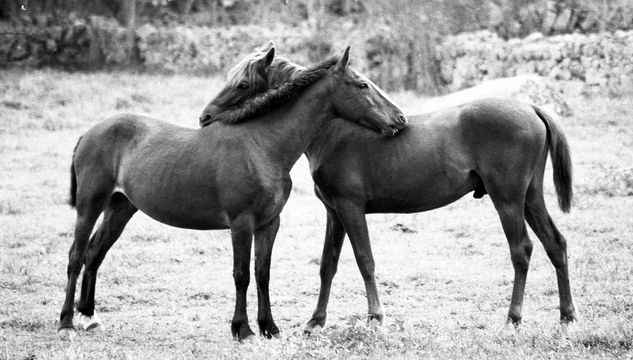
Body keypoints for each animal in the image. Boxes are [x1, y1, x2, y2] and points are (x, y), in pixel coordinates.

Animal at [58, 47, 404, 340]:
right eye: (362, 85)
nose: (399, 119)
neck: (262, 144)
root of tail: (89, 133)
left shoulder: (269, 223)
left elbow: (262, 273)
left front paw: (269, 328)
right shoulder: (241, 223)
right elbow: (242, 274)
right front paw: (244, 330)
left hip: (120, 208)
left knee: (95, 253)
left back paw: (89, 316)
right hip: (89, 206)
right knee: (76, 255)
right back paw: (66, 322)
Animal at [199, 47, 576, 332]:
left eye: (242, 82)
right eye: (363, 85)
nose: (205, 117)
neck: (333, 130)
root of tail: (531, 108)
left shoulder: (350, 208)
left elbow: (364, 259)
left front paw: (375, 316)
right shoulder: (334, 212)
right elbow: (328, 264)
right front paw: (315, 321)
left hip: (508, 200)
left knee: (521, 250)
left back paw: (513, 317)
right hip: (530, 198)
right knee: (555, 244)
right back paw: (567, 315)